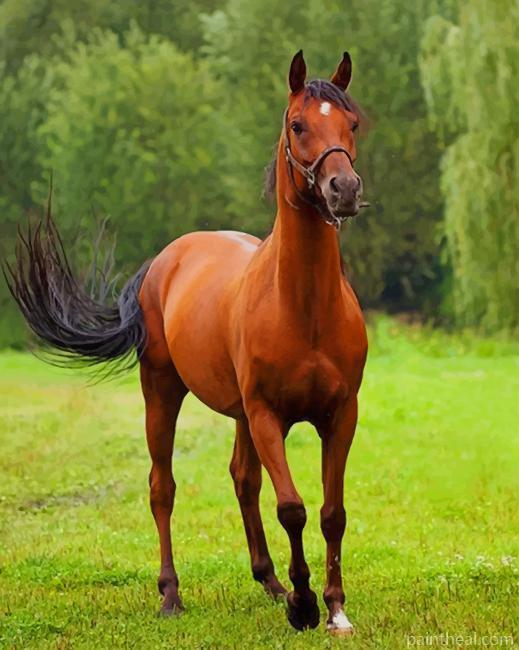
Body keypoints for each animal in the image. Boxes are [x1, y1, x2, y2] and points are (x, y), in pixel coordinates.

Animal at [6, 50, 368, 635]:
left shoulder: (340, 415)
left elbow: (331, 513)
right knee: (163, 487)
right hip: (162, 392)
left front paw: (333, 608)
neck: (305, 305)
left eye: (351, 123)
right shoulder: (267, 415)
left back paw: (270, 581)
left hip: (239, 415)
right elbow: (291, 507)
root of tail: (164, 259)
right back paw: (172, 595)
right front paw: (305, 604)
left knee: (243, 480)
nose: (345, 189)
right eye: (298, 125)